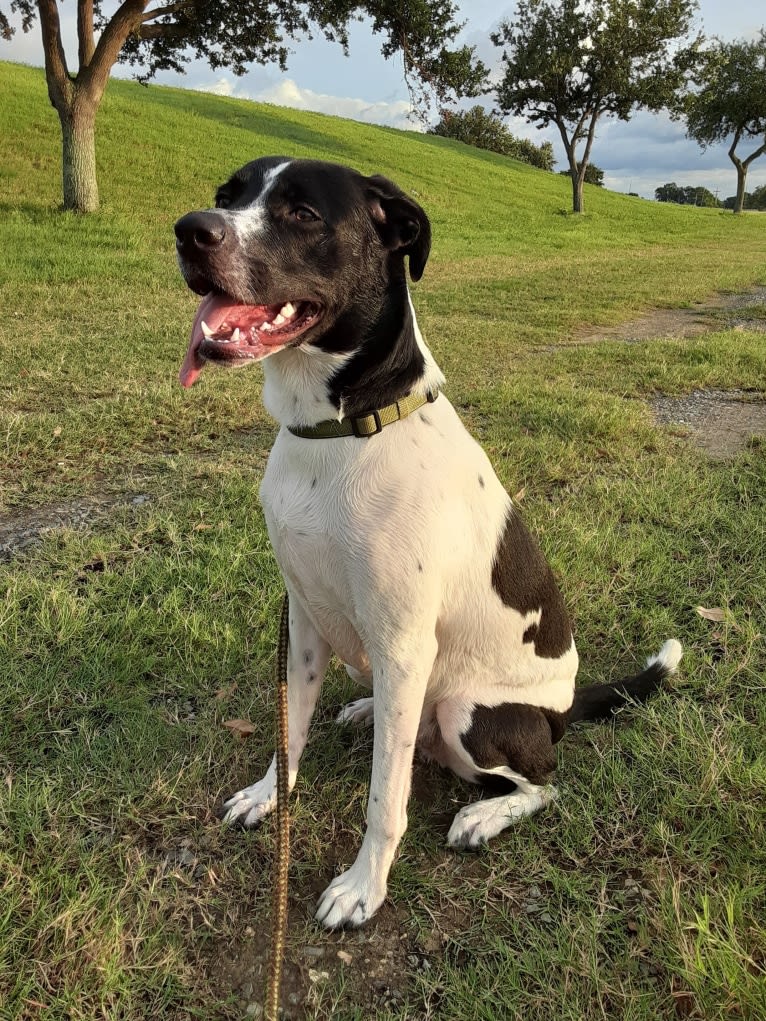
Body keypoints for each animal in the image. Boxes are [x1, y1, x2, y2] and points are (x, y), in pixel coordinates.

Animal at [175, 155, 682, 931]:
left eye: (303, 213)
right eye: (227, 195)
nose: (189, 230)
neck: (341, 434)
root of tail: (564, 709)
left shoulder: (404, 644)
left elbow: (386, 799)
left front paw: (363, 886)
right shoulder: (302, 620)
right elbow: (290, 731)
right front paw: (268, 795)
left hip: (468, 713)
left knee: (544, 783)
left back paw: (484, 814)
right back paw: (364, 711)